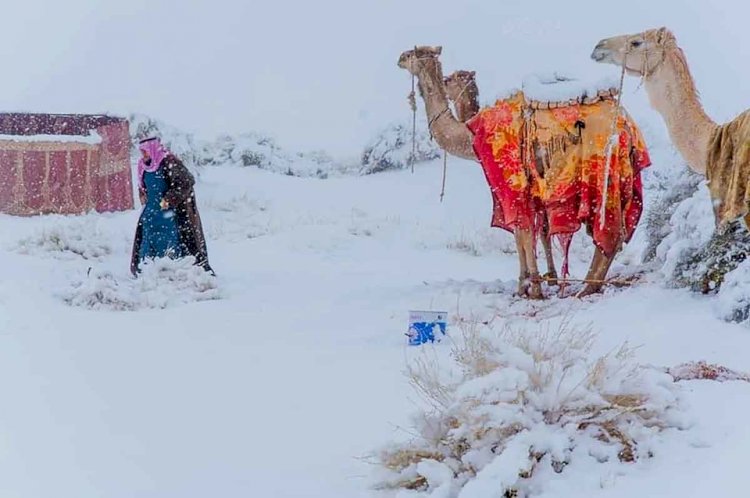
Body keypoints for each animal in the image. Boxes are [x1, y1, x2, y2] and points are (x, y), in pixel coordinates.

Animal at [396, 44, 648, 298]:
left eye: (412, 54)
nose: (399, 59)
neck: (471, 134)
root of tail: (628, 126)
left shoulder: (510, 181)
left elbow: (522, 232)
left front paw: (530, 286)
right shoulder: (534, 188)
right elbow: (536, 231)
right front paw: (543, 280)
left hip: (603, 170)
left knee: (609, 232)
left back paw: (586, 288)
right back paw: (588, 285)